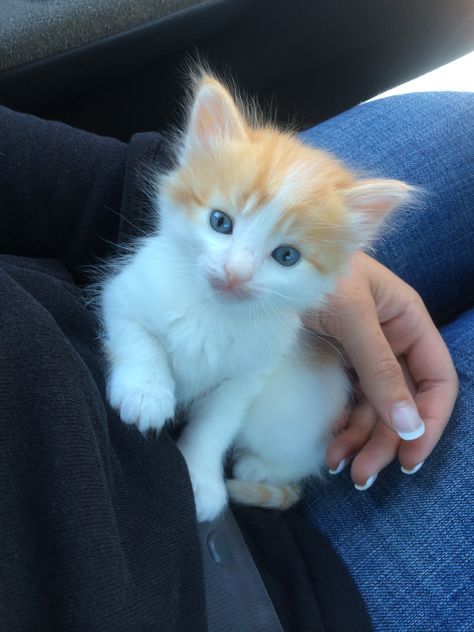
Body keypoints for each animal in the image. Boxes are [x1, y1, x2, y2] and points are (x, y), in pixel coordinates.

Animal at [99, 74, 412, 520]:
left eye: (286, 256)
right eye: (220, 222)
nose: (236, 273)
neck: (213, 312)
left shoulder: (247, 378)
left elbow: (214, 427)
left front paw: (200, 479)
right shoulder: (124, 293)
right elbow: (139, 336)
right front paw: (146, 393)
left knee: (307, 459)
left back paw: (260, 468)